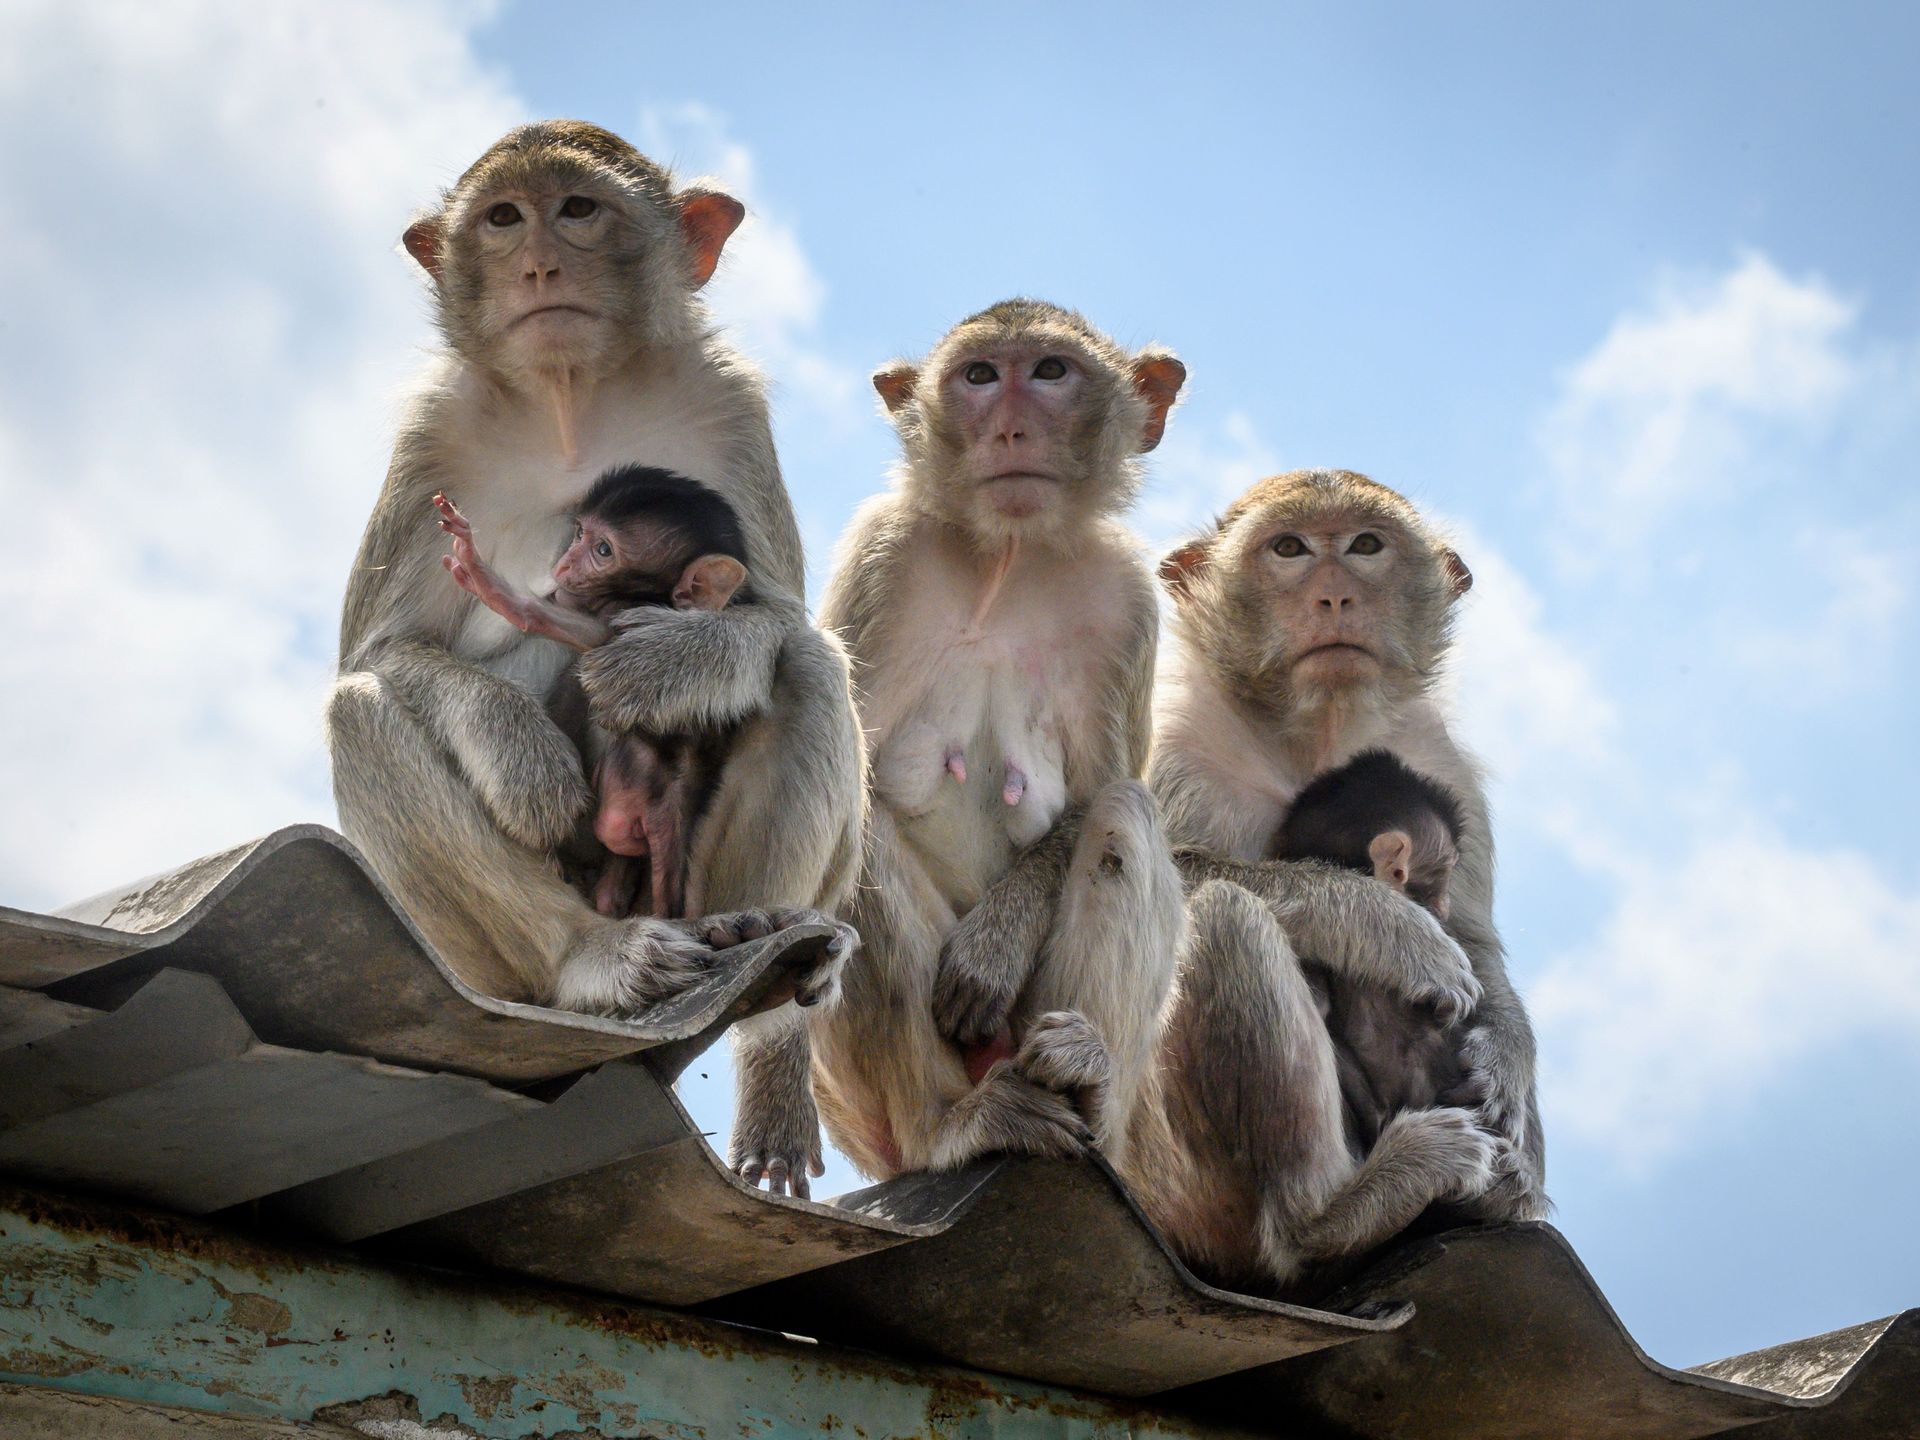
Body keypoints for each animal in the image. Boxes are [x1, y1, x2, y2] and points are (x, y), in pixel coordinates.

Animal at [435, 474, 756, 925]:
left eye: (603, 551)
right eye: (579, 534)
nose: (562, 567)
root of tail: (675, 804)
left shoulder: (621, 614)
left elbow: (575, 629)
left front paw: (488, 580)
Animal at [756, 301, 1190, 1182]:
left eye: (1051, 372)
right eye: (981, 376)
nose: (1012, 429)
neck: (1008, 556)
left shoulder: (1128, 602)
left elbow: (1097, 790)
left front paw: (997, 941)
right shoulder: (882, 558)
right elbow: (827, 786)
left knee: (1124, 816)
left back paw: (1085, 1080)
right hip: (864, 1113)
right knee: (866, 839)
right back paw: (952, 1126)